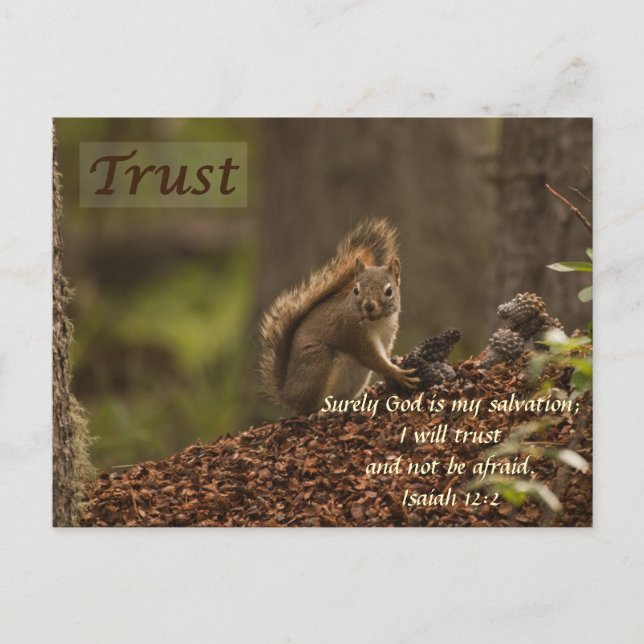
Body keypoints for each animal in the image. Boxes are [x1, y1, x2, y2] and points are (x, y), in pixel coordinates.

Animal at [259, 218, 419, 415]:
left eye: (389, 291)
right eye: (356, 290)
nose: (368, 306)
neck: (378, 321)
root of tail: (288, 394)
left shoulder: (388, 336)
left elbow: (385, 355)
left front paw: (396, 362)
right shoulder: (354, 335)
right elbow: (371, 359)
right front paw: (399, 374)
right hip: (319, 365)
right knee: (311, 407)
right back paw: (320, 412)